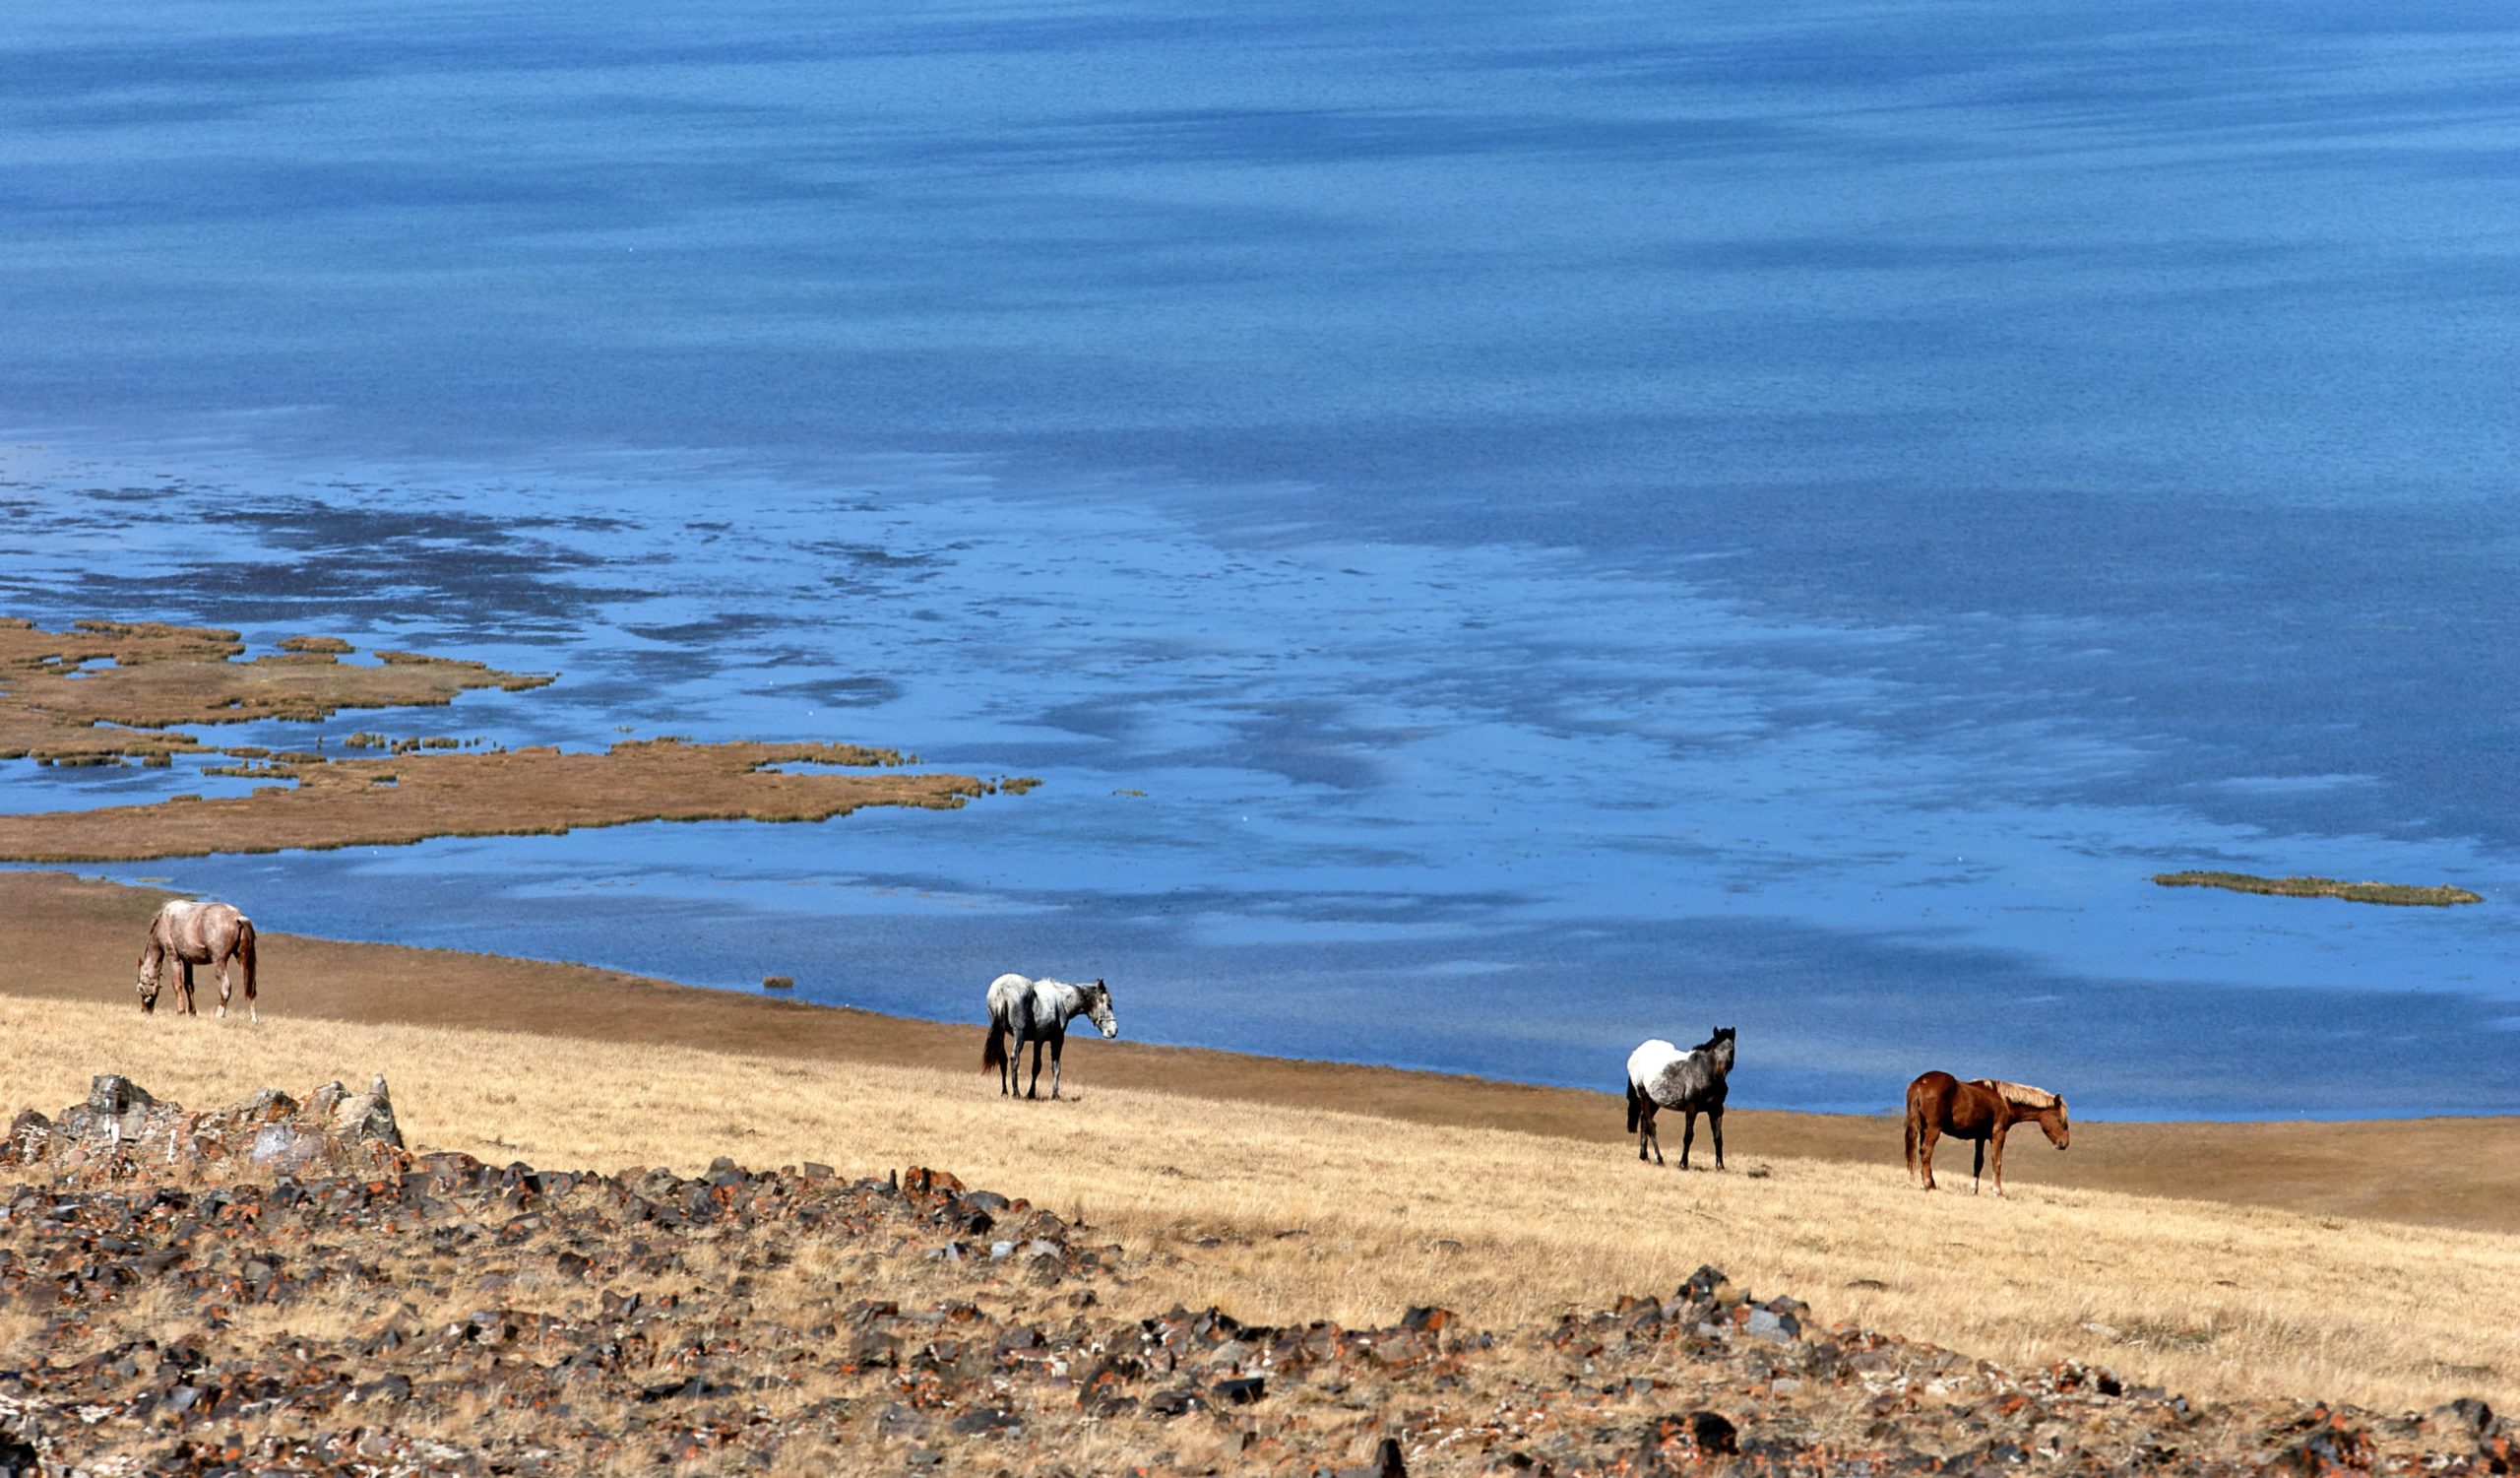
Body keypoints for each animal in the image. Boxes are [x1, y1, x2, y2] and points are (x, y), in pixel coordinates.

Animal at [136, 892, 257, 1018]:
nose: (144, 1010)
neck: (163, 920)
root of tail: (237, 916)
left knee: (225, 986)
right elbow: (189, 985)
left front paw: (181, 1011)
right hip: (242, 958)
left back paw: (219, 1014)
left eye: (140, 988)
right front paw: (192, 1012)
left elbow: (177, 984)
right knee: (252, 988)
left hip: (219, 962)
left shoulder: (172, 956)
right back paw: (254, 1018)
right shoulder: (187, 961)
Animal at [977, 973, 1118, 1099]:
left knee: (1003, 1059)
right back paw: (1016, 1093)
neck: (1062, 1000)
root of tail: (1002, 990)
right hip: (1019, 1034)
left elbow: (1036, 1067)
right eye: (1109, 1004)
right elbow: (1056, 1066)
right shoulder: (1057, 1039)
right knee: (1014, 1059)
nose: (1114, 1031)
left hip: (1001, 1033)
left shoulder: (1038, 1041)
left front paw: (1031, 1094)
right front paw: (1054, 1094)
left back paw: (1005, 1092)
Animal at [1622, 1023, 1743, 1160]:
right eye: (1715, 1050)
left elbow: (1718, 1138)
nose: (1719, 1074)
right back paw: (1659, 1158)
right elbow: (1688, 1136)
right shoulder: (1691, 1108)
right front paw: (1683, 1162)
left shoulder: (1716, 1110)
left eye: (1731, 1050)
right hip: (1644, 1097)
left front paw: (1720, 1164)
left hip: (1654, 1101)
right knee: (1650, 1125)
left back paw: (1644, 1156)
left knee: (1643, 1122)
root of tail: (1635, 1054)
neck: (1704, 1072)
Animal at [1905, 1063, 2066, 1189]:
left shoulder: (1980, 1137)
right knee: (1926, 1151)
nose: (2064, 1143)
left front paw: (1974, 1190)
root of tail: (1920, 1083)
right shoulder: (1998, 1134)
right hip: (1934, 1128)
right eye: (2062, 1121)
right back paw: (1928, 1185)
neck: (2004, 1101)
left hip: (1924, 1129)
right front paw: (1997, 1191)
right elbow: (1997, 1161)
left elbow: (1978, 1163)